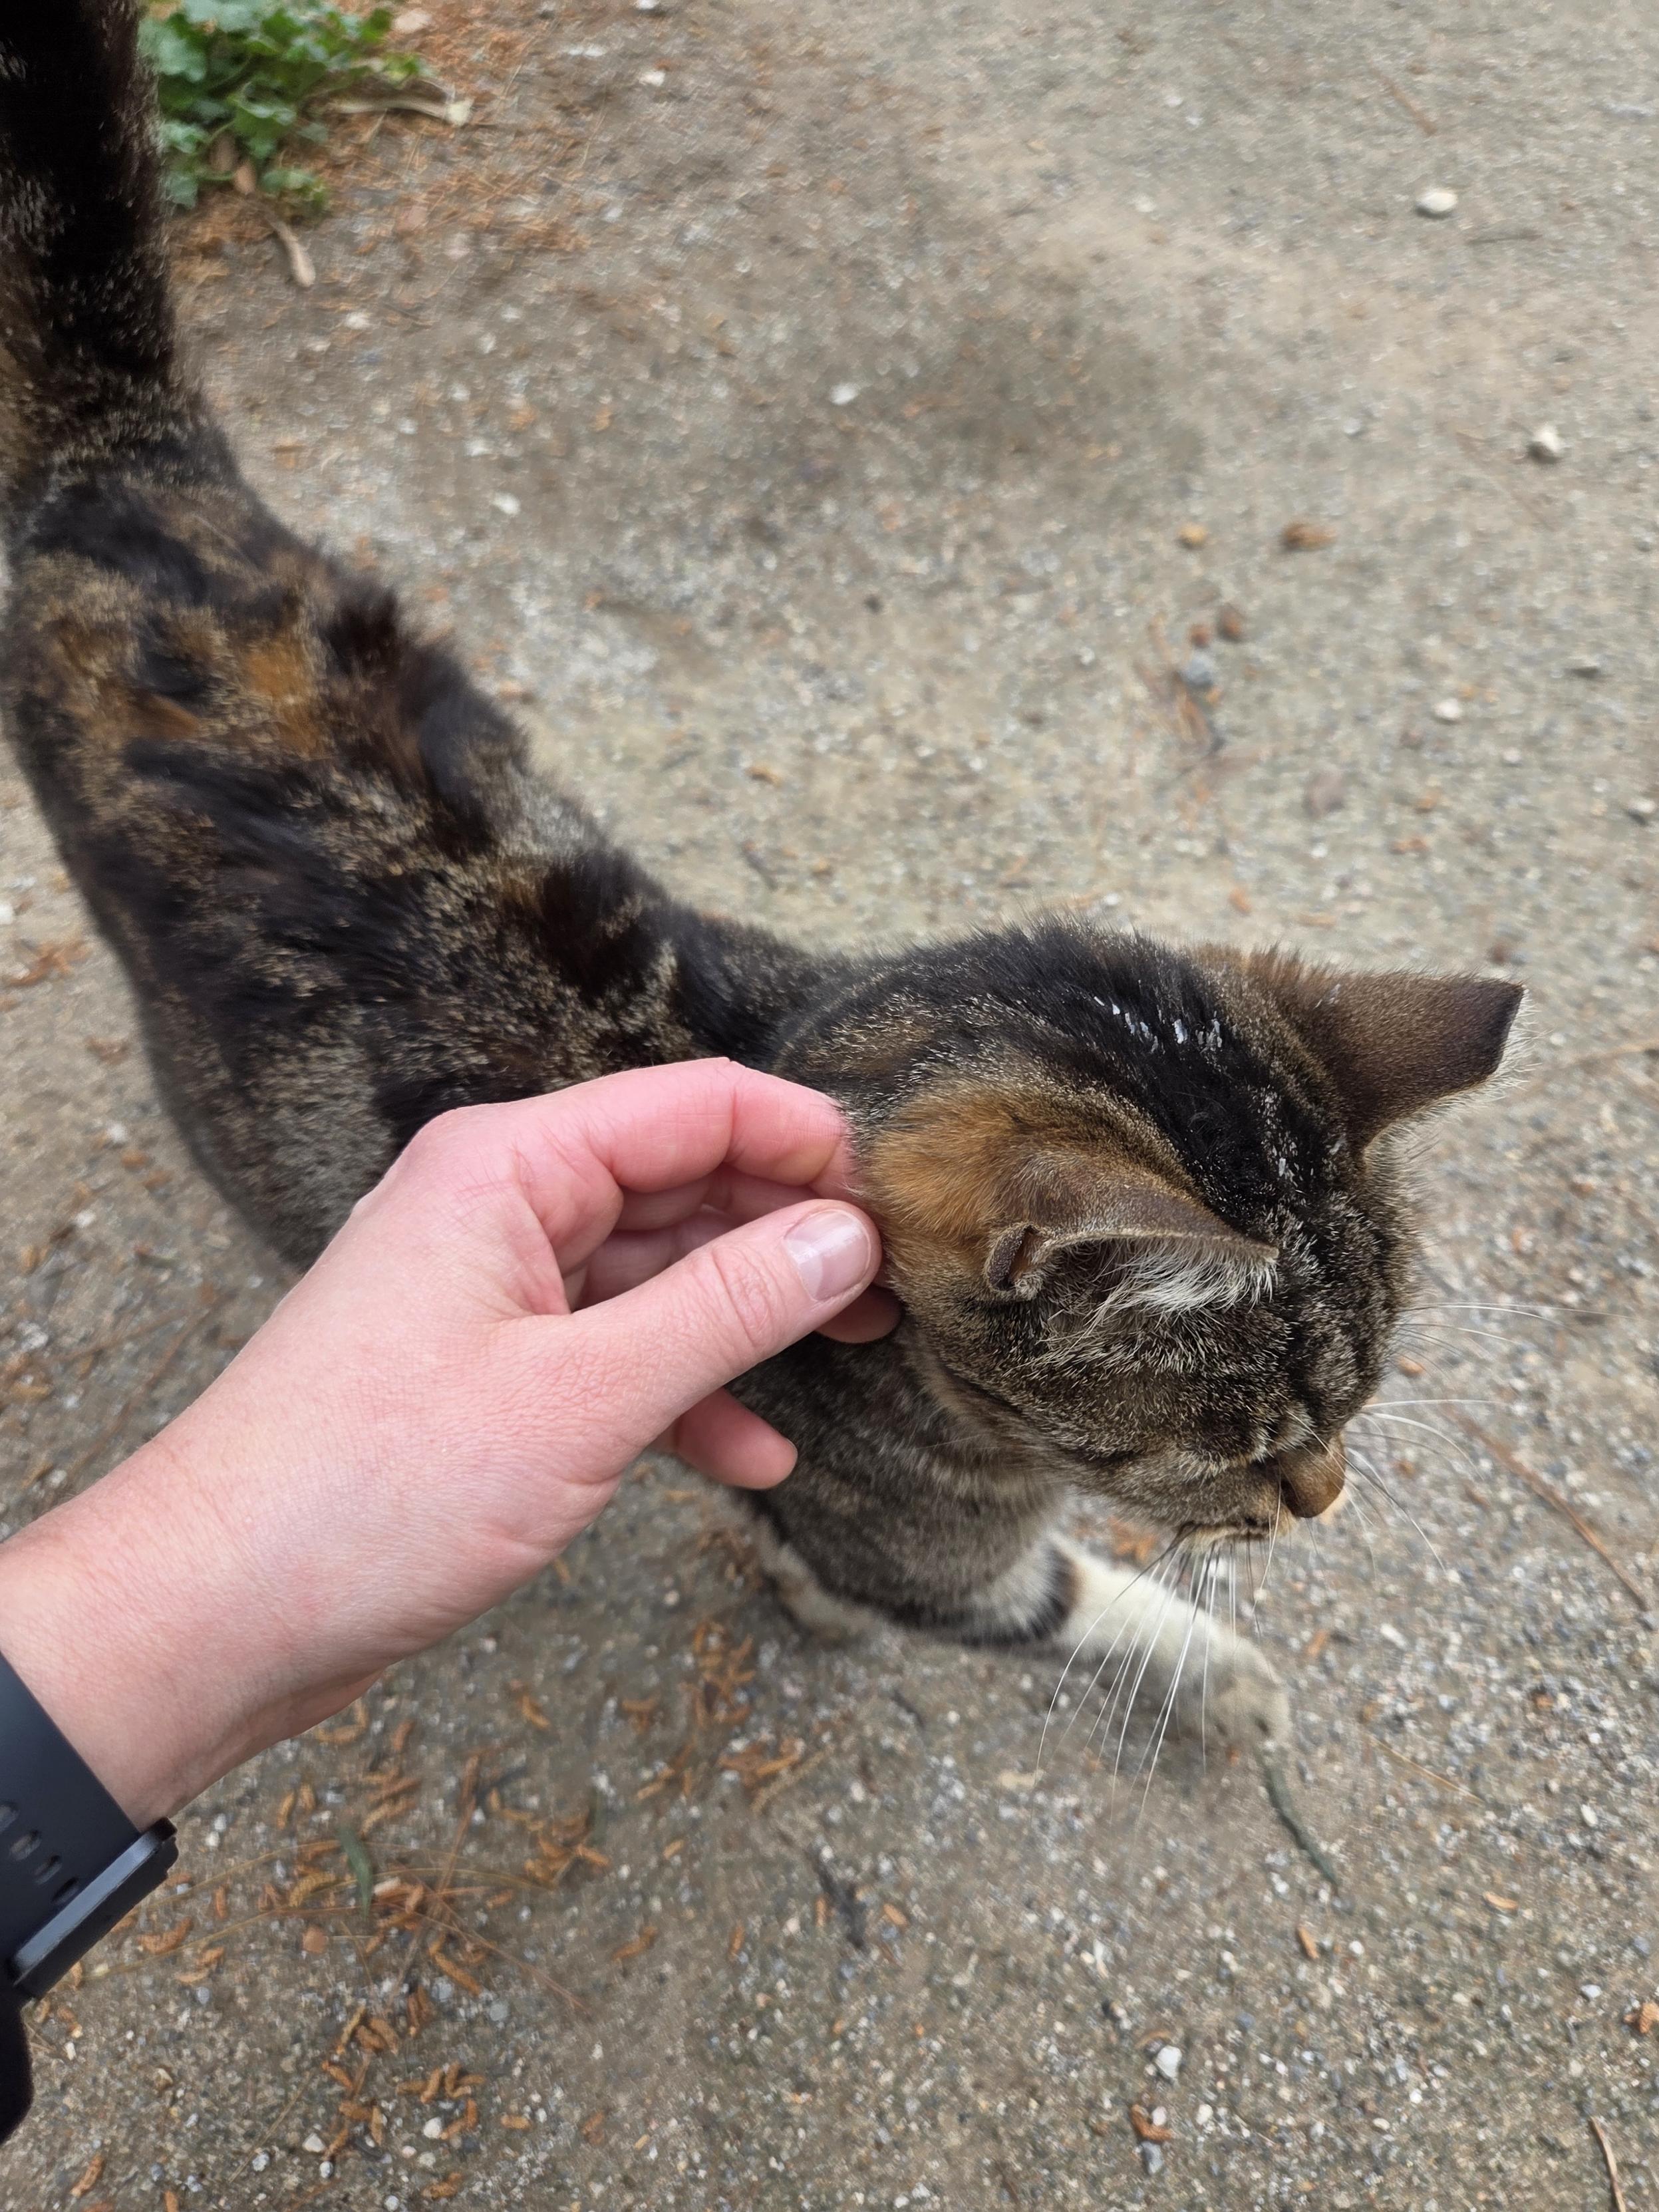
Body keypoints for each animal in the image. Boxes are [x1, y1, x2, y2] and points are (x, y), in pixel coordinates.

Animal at [0, 2, 1519, 1765]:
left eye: (1363, 1398)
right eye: (1249, 1431)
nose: (1324, 1495)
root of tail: (121, 476)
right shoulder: (939, 1564)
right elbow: (1074, 1597)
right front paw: (1213, 1668)